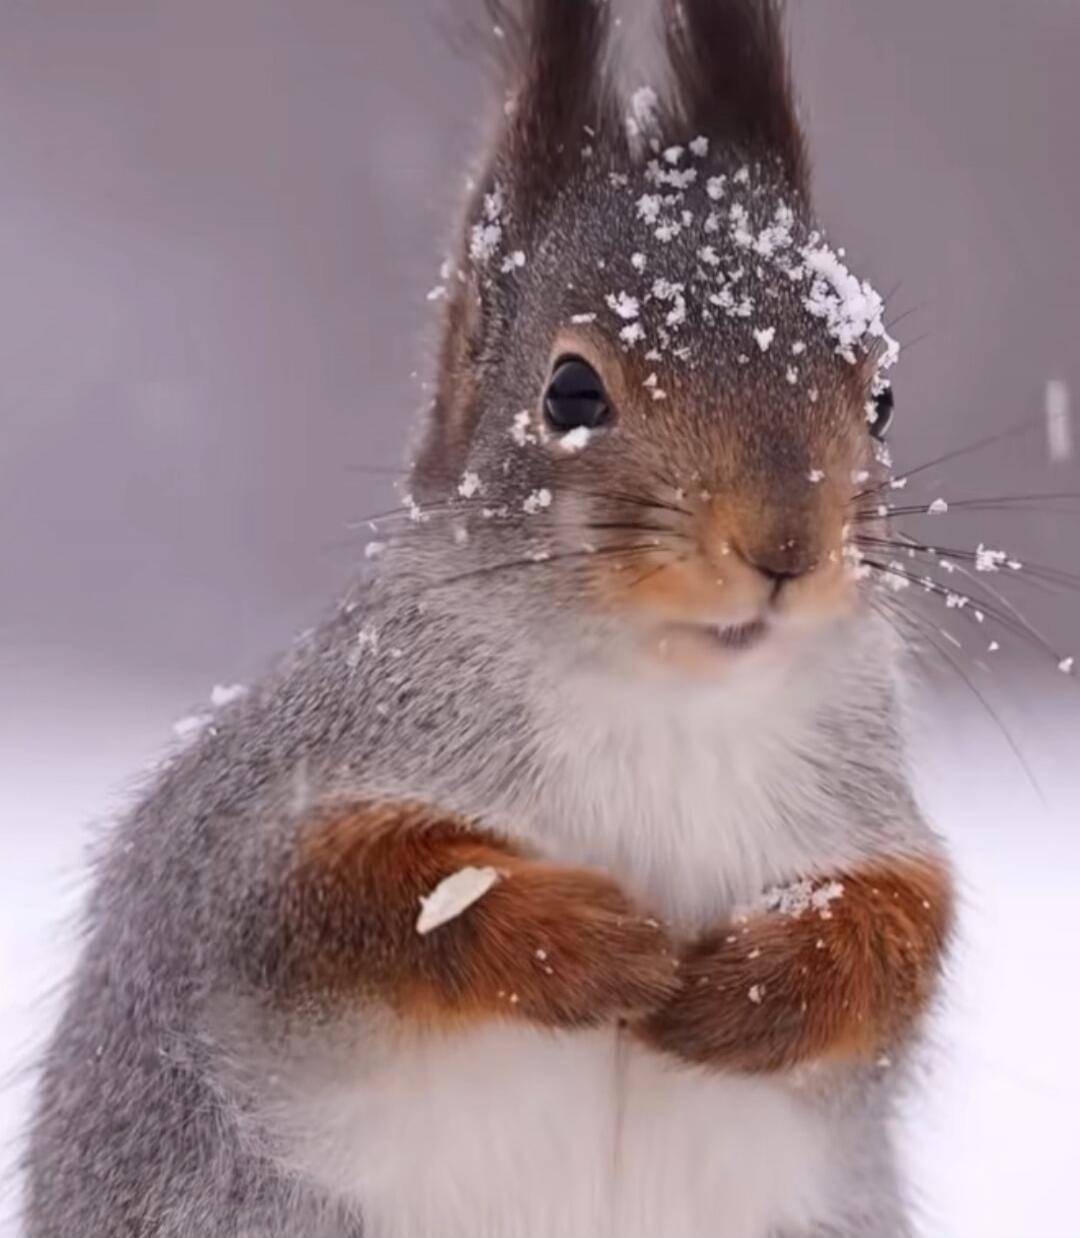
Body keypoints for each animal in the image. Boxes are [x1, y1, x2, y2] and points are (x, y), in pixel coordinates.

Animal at [22, 2, 954, 1236]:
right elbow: (348, 901)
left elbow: (903, 936)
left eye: (882, 395)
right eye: (571, 392)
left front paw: (749, 984)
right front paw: (596, 944)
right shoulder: (266, 823)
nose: (787, 549)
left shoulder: (868, 807)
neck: (667, 700)